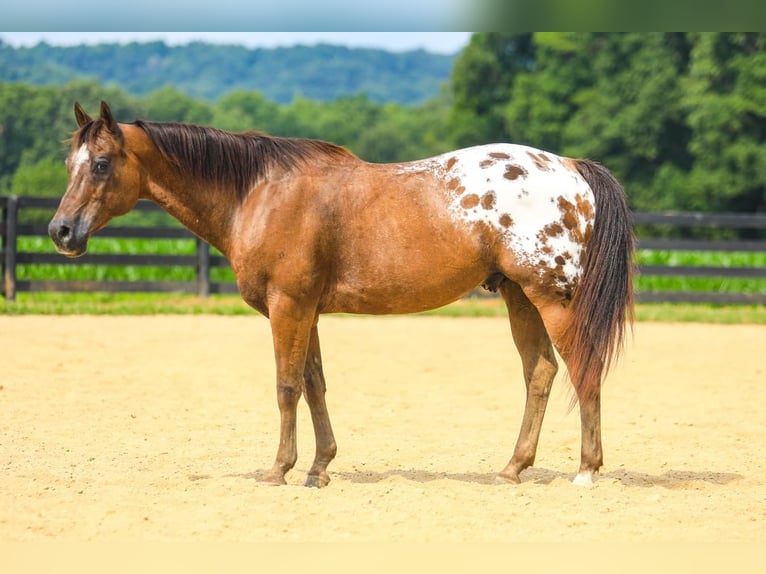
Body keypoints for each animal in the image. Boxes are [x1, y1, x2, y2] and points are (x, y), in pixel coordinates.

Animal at [49, 103, 636, 490]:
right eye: (70, 165)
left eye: (100, 164)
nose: (60, 231)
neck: (259, 193)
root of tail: (571, 169)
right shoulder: (306, 310)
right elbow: (315, 385)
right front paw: (319, 467)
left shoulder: (287, 307)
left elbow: (286, 386)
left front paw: (279, 470)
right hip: (518, 296)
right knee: (540, 372)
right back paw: (513, 468)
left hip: (553, 299)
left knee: (582, 369)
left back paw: (585, 470)